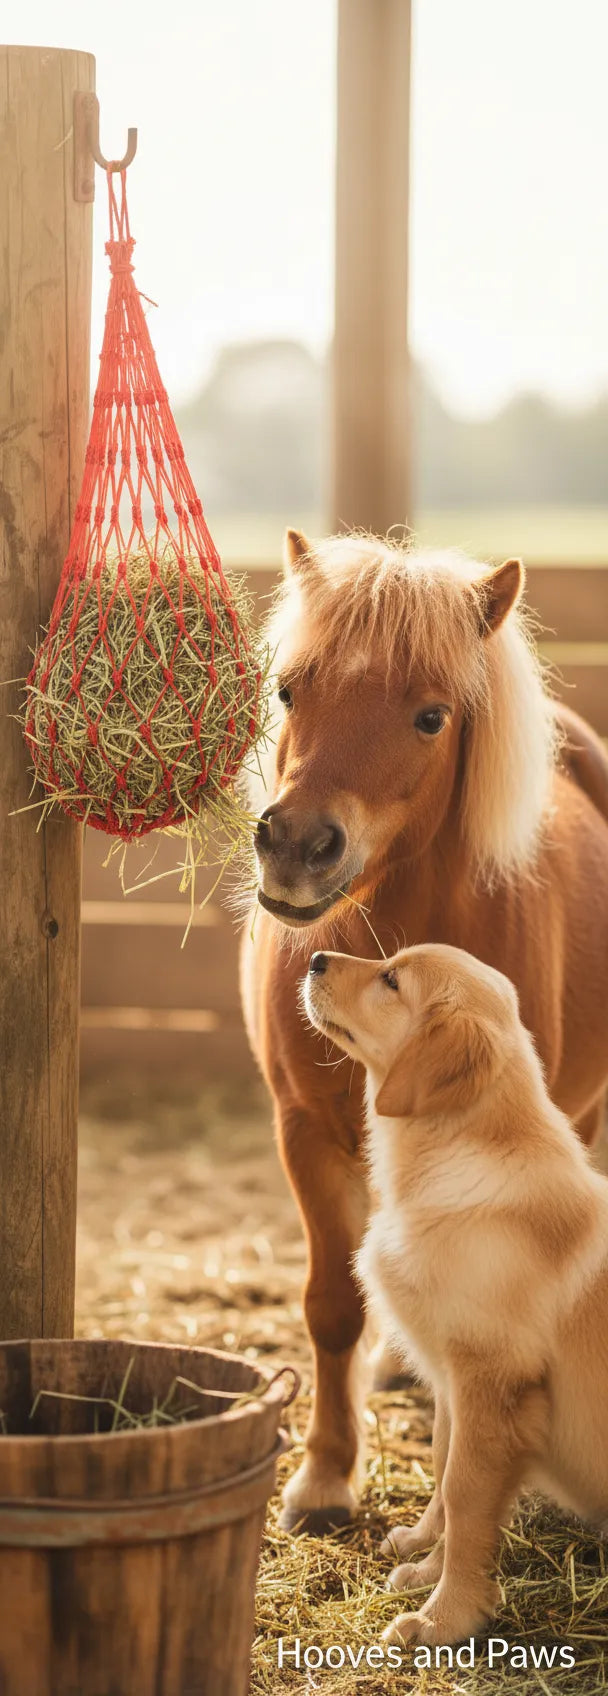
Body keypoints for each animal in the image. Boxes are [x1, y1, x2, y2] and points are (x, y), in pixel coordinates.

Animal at [240, 527, 608, 1534]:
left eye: (431, 717)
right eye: (289, 689)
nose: (297, 846)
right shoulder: (302, 1130)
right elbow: (332, 1305)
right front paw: (324, 1479)